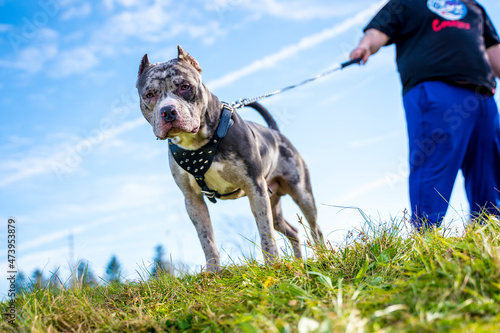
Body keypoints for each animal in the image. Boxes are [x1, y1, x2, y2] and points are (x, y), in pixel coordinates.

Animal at [136, 46, 324, 270]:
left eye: (185, 86)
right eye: (149, 94)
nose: (168, 111)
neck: (197, 143)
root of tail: (275, 132)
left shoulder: (254, 186)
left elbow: (265, 232)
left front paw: (272, 265)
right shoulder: (192, 200)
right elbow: (206, 239)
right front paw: (213, 272)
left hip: (300, 193)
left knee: (315, 228)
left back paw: (325, 255)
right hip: (273, 201)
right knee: (292, 231)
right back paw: (298, 263)